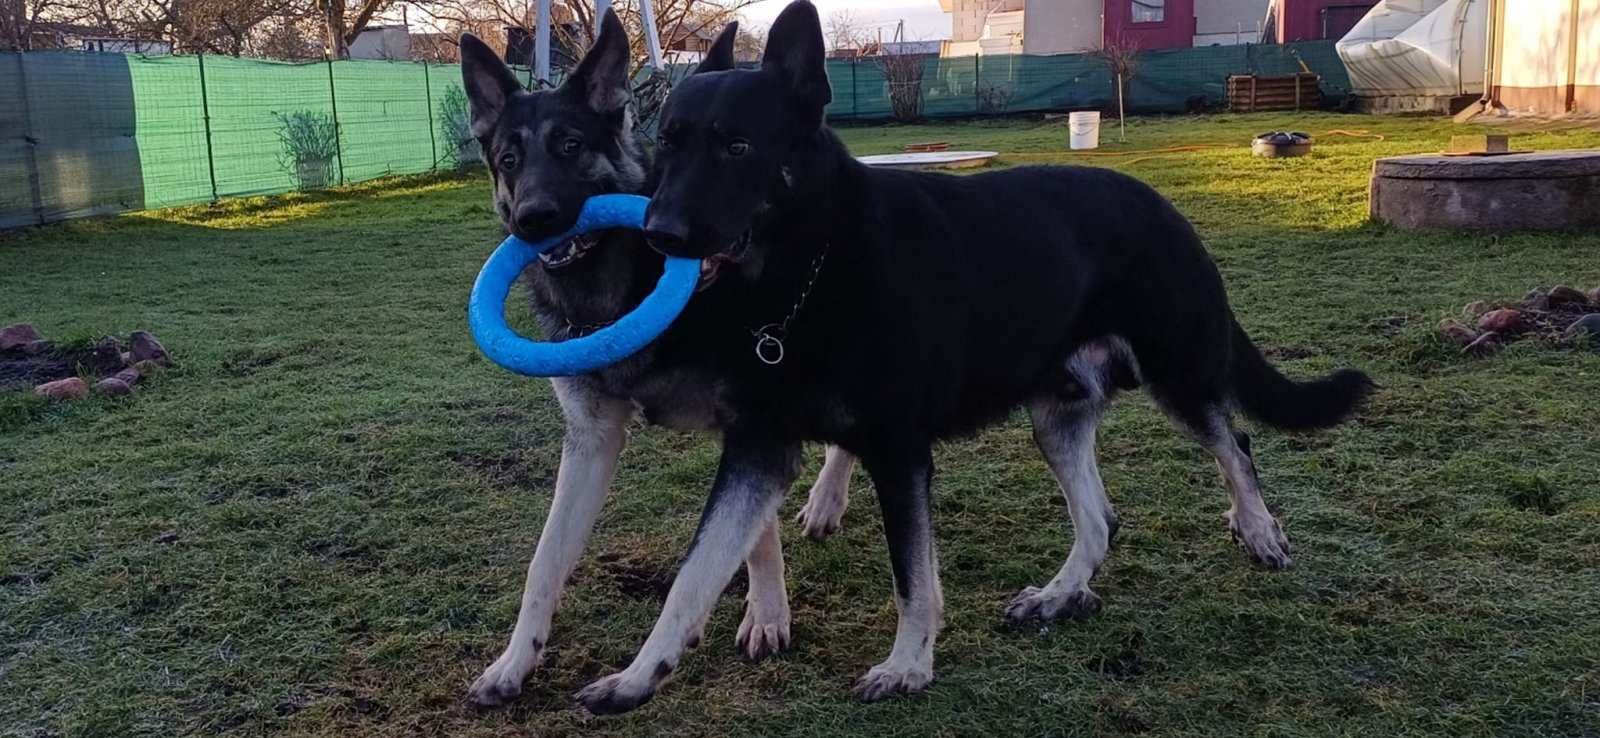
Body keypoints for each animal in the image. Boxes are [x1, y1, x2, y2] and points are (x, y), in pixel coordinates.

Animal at [457, 10, 857, 701]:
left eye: (570, 145)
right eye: (509, 160)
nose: (534, 219)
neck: (620, 288)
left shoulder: (749, 426)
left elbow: (751, 535)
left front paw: (766, 613)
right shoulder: (591, 441)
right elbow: (544, 560)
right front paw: (514, 662)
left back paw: (828, 499)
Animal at [563, 1, 1376, 713]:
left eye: (737, 147)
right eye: (667, 144)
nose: (660, 234)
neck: (807, 275)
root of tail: (1162, 206)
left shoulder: (897, 454)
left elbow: (911, 578)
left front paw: (907, 665)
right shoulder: (759, 450)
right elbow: (695, 573)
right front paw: (638, 676)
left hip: (1177, 373)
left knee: (1233, 444)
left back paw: (1259, 531)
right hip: (1057, 417)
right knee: (1100, 520)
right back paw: (1059, 595)